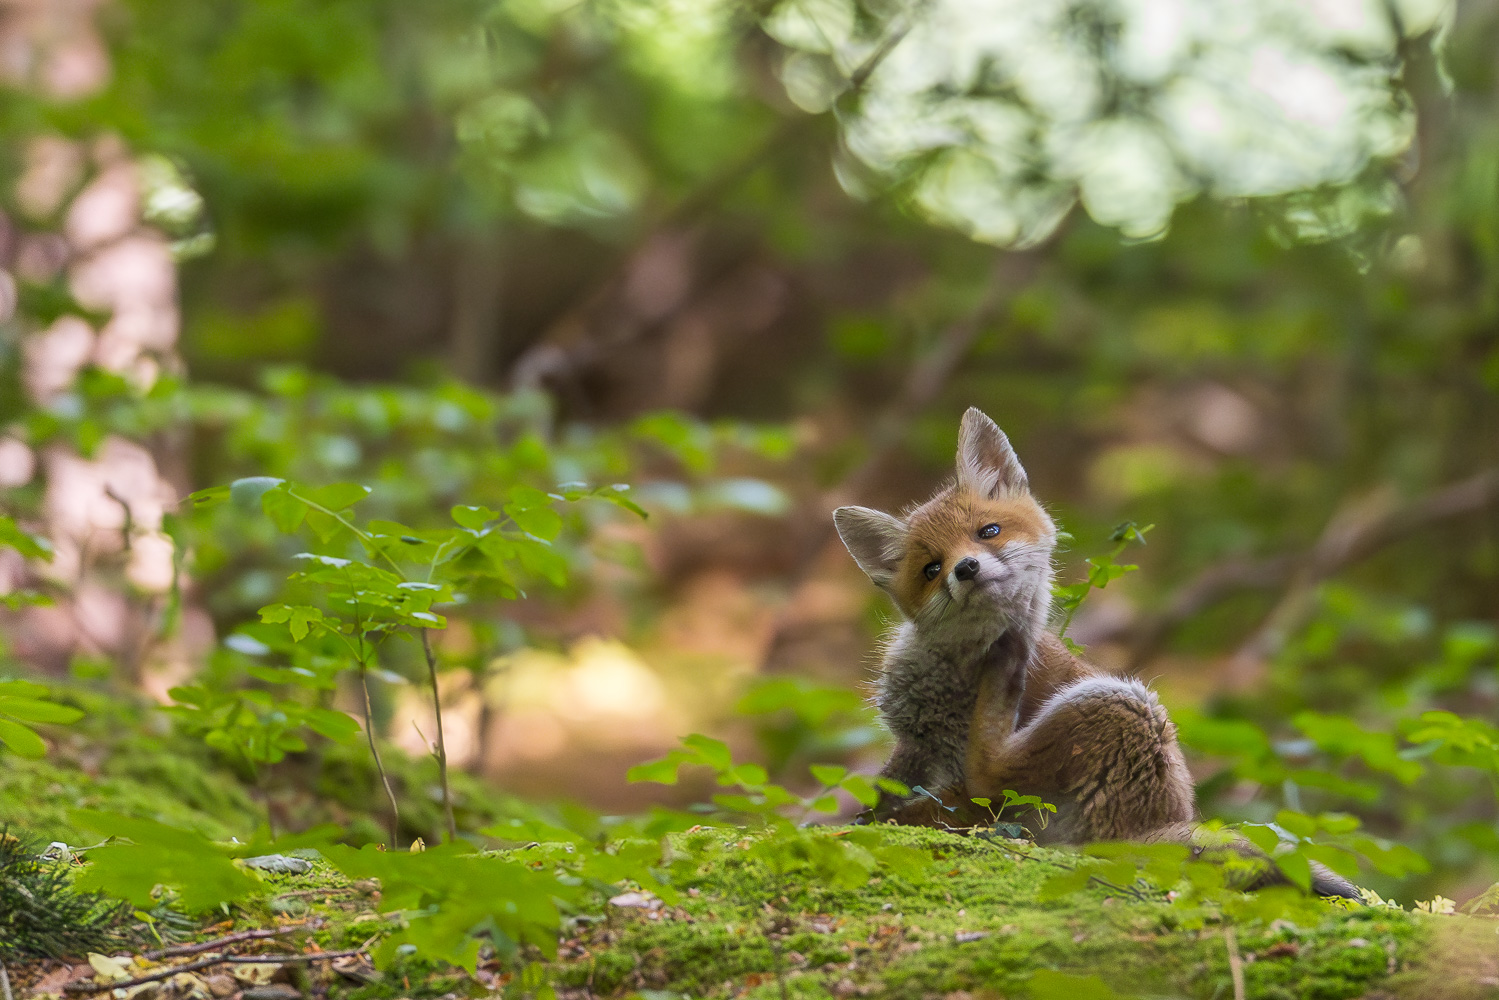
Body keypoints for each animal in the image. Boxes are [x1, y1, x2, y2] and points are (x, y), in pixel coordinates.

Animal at [839, 407, 1367, 899]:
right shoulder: (914, 747)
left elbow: (938, 805)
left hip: (1122, 704)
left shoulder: (961, 784)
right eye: (931, 569)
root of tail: (1146, 829)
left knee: (990, 771)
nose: (965, 568)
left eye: (988, 532)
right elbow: (881, 792)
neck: (949, 674)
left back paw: (1007, 667)